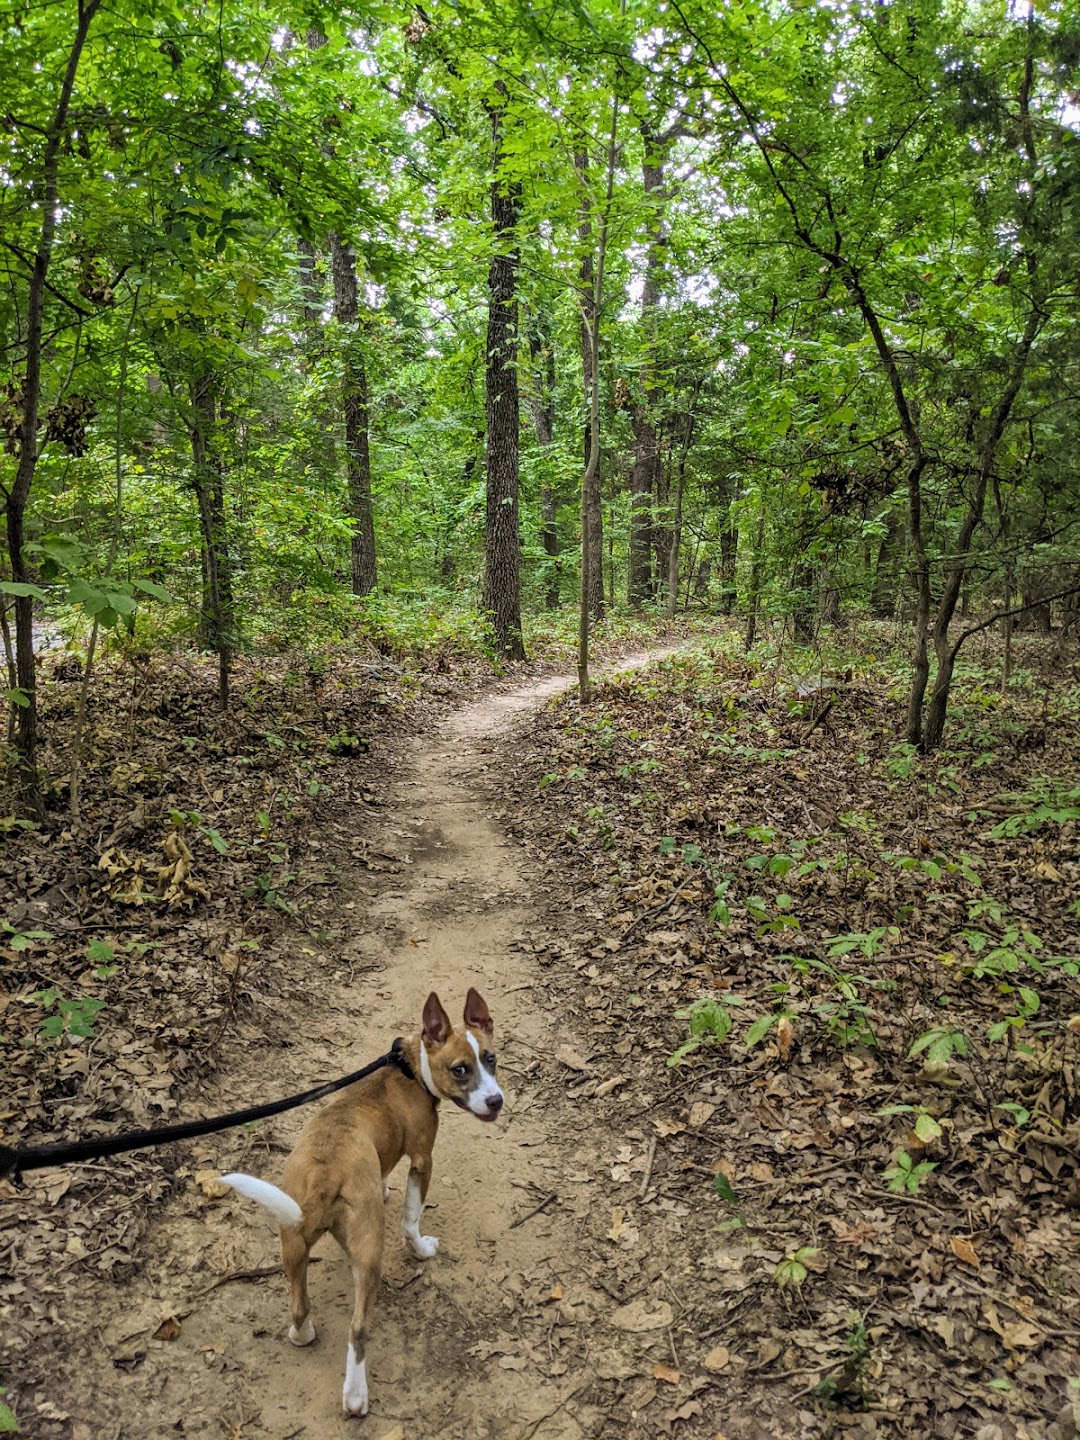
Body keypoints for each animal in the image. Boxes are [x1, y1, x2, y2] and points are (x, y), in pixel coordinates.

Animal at [223, 990, 506, 1416]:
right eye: (460, 1069)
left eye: (490, 1058)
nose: (496, 1101)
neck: (411, 1069)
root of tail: (325, 1174)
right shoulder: (422, 1159)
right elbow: (411, 1216)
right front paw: (421, 1249)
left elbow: (386, 1171)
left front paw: (385, 1187)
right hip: (370, 1252)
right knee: (357, 1329)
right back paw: (356, 1396)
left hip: (291, 1242)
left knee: (299, 1305)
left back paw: (301, 1334)